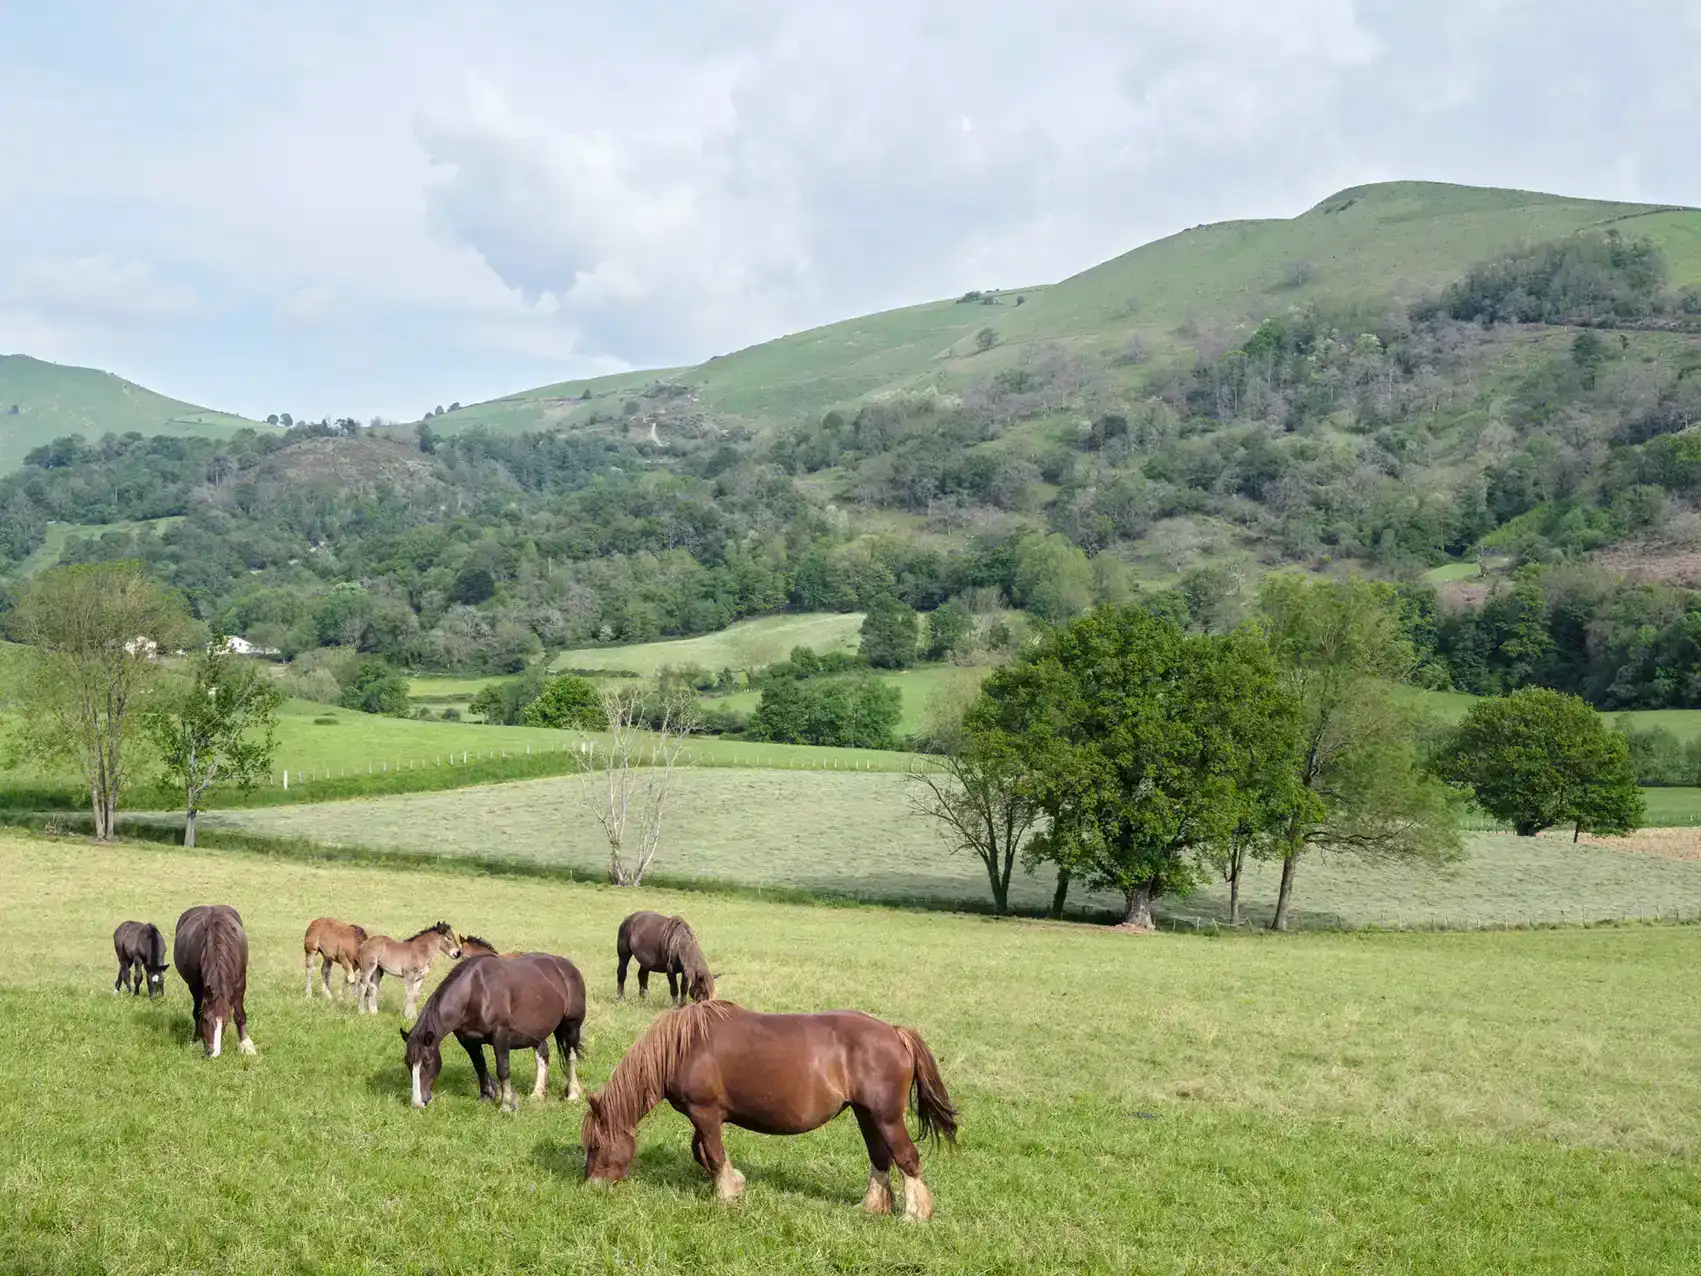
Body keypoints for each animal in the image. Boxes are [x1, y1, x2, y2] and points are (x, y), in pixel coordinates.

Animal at [170, 905, 253, 1061]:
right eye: (206, 1020)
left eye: (225, 1023)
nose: (212, 1053)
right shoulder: (195, 987)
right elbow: (197, 1012)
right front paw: (196, 1040)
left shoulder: (240, 985)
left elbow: (239, 1015)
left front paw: (245, 1045)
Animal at [401, 952, 588, 1116]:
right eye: (408, 1063)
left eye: (427, 1062)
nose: (418, 1103)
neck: (475, 990)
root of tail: (569, 967)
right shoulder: (468, 1041)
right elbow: (479, 1066)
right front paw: (486, 1096)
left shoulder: (501, 1035)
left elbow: (503, 1070)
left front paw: (506, 1105)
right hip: (536, 1031)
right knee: (542, 1055)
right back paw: (537, 1094)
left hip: (571, 1026)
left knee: (570, 1057)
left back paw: (573, 1094)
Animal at [581, 1007, 959, 1224]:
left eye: (595, 1146)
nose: (592, 1187)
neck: (682, 1047)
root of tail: (896, 1033)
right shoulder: (704, 1118)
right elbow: (702, 1152)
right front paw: (736, 1184)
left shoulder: (704, 1112)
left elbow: (713, 1154)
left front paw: (727, 1194)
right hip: (866, 1115)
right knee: (880, 1158)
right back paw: (871, 1207)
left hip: (886, 1117)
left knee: (907, 1158)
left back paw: (914, 1215)